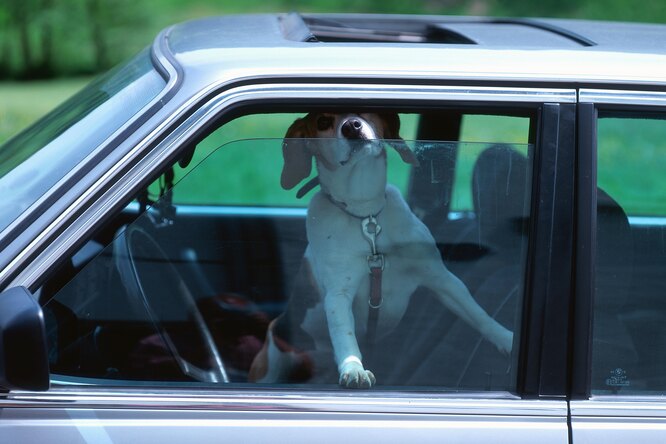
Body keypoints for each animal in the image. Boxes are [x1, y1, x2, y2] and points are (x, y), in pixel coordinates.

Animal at [249, 112, 512, 388]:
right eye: (322, 122)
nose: (352, 127)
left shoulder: (441, 278)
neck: (366, 215)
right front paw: (354, 368)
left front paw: (507, 338)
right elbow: (345, 334)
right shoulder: (338, 295)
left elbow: (477, 314)